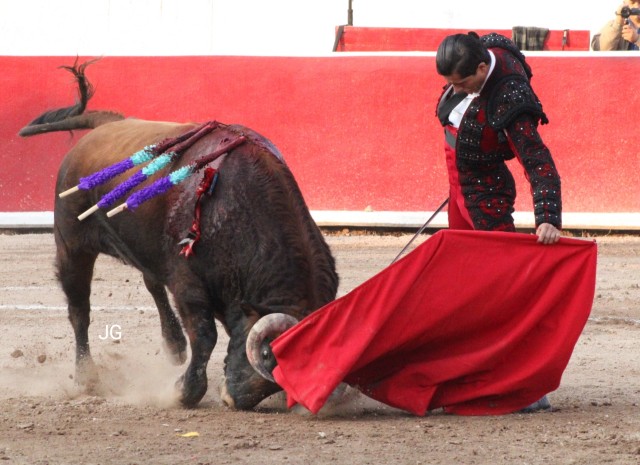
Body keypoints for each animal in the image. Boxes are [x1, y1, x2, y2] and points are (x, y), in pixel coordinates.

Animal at [19, 61, 339, 410]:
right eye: (267, 352)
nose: (234, 399)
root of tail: (107, 126)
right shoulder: (188, 283)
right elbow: (205, 335)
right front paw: (183, 392)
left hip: (144, 248)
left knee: (151, 282)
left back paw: (173, 346)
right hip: (72, 245)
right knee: (79, 308)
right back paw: (87, 378)